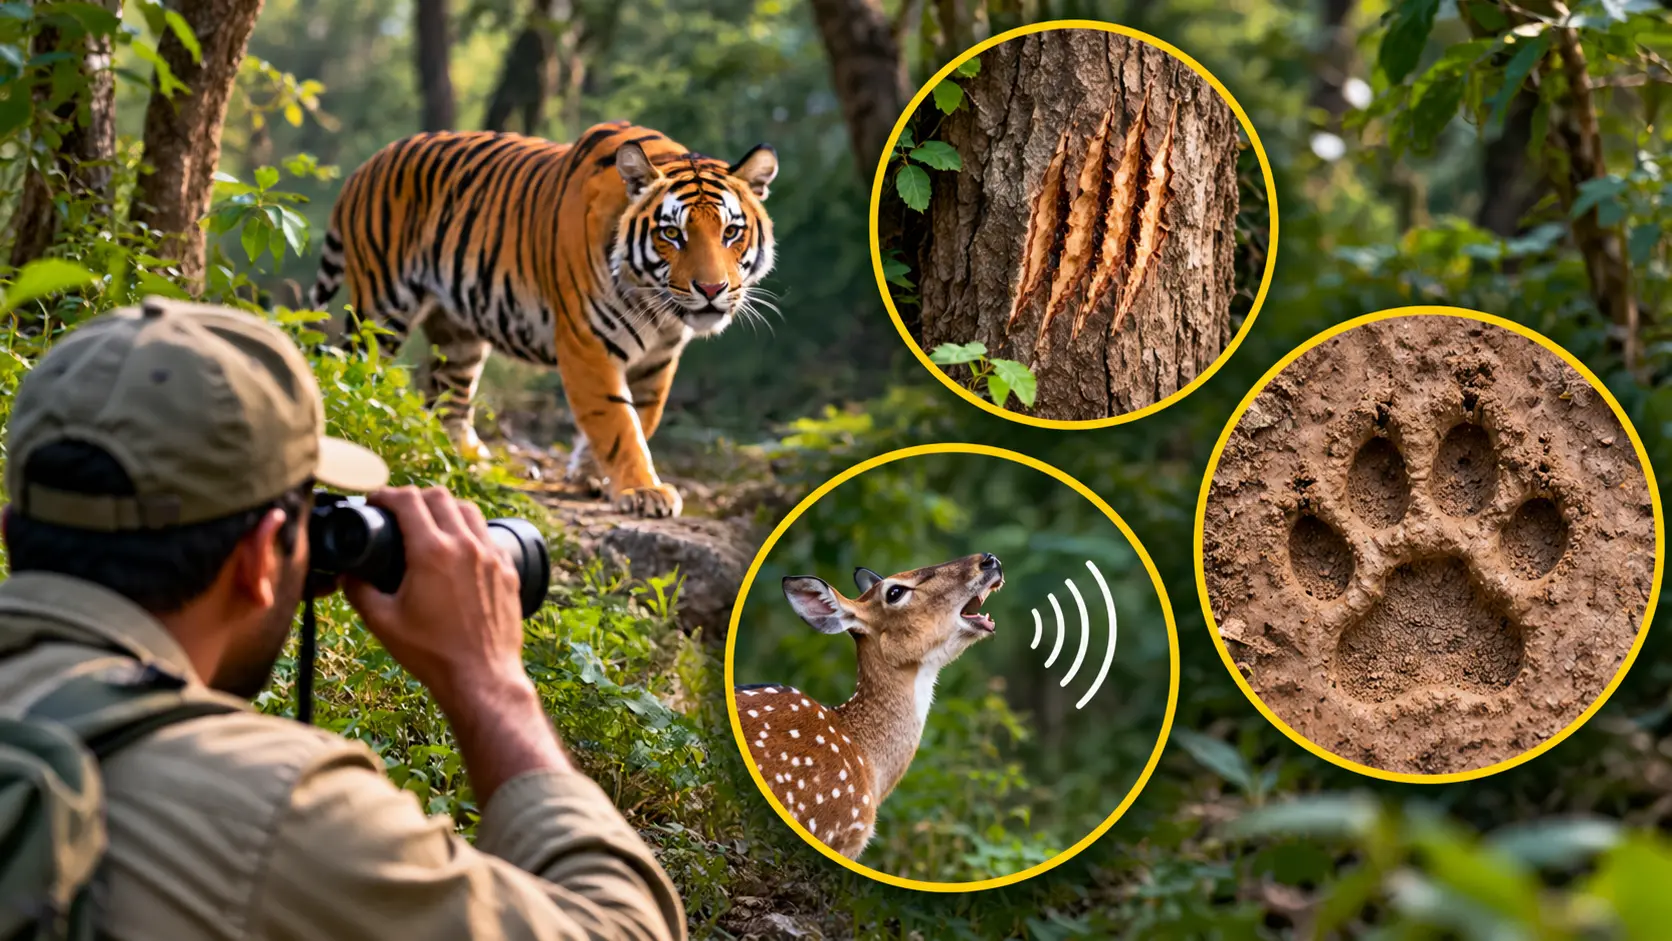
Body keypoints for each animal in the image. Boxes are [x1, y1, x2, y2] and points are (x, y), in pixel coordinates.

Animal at [303, 120, 779, 518]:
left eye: (731, 232)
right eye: (672, 234)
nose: (712, 289)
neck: (656, 307)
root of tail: (366, 166)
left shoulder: (659, 358)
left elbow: (643, 416)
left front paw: (595, 476)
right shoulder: (588, 344)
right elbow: (617, 421)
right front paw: (643, 490)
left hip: (458, 332)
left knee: (449, 396)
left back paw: (466, 459)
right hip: (382, 311)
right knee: (355, 376)